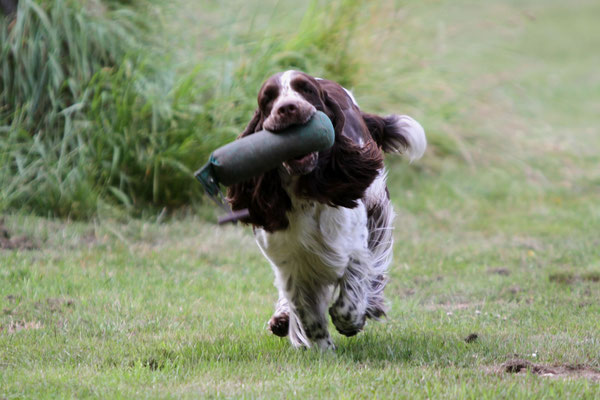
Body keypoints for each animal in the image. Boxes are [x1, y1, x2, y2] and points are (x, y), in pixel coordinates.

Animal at [226, 70, 426, 348]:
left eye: (307, 90)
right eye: (268, 98)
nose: (287, 108)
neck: (306, 196)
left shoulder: (355, 243)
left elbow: (350, 297)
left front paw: (351, 321)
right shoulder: (291, 263)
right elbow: (307, 314)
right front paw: (322, 347)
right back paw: (282, 317)